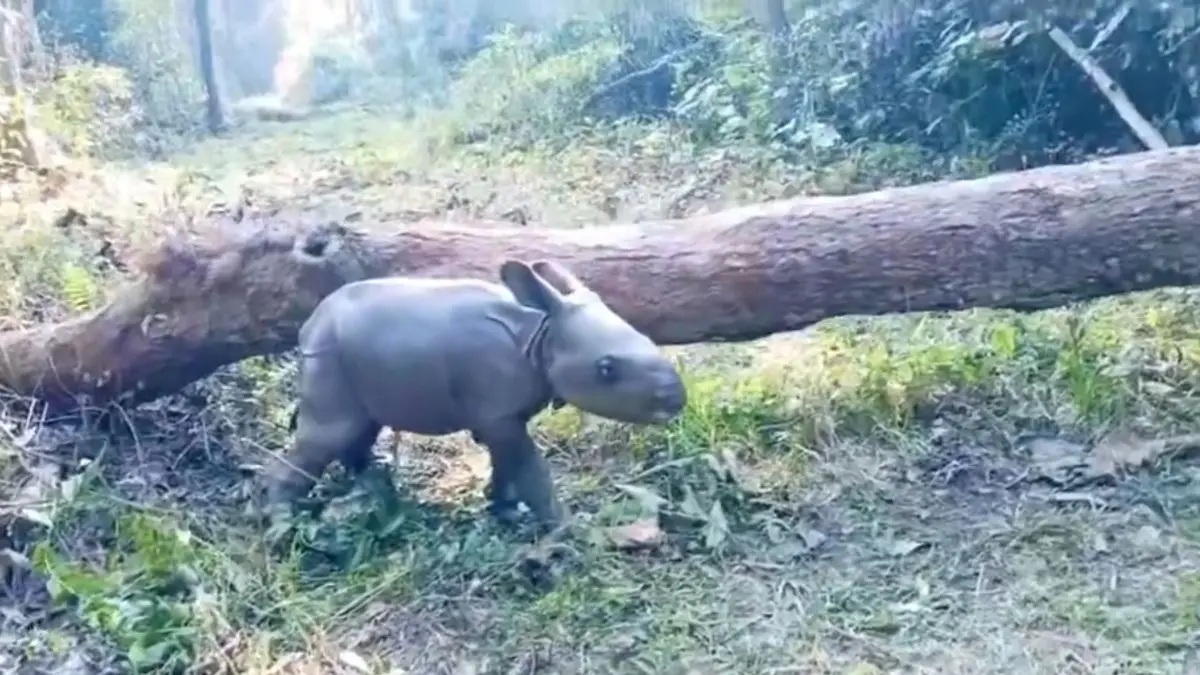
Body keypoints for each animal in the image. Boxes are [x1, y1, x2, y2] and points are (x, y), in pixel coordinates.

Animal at [264, 259, 688, 530]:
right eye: (606, 369)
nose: (676, 400)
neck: (542, 334)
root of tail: (309, 324)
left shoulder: (502, 415)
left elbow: (508, 462)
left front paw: (503, 508)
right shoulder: (498, 412)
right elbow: (529, 468)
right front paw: (566, 529)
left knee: (361, 425)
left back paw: (371, 480)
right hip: (328, 357)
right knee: (328, 433)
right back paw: (280, 525)